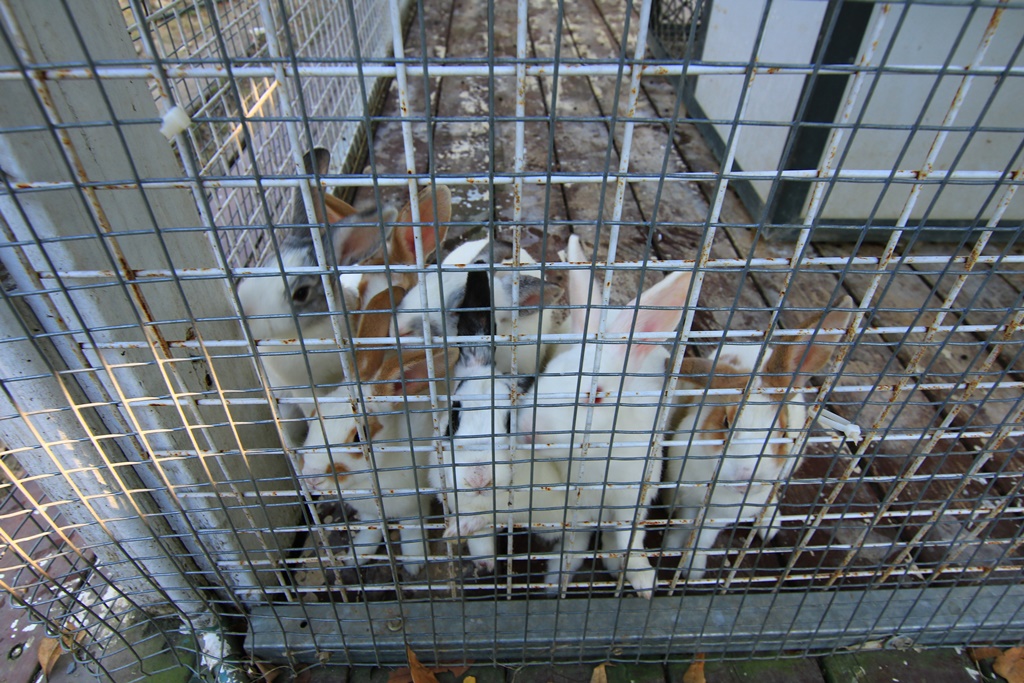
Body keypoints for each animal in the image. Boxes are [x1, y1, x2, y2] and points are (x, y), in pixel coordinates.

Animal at [432, 270, 569, 573]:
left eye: (509, 424)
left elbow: (495, 516)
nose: (479, 478)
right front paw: (480, 559)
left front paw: (459, 530)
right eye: (453, 418)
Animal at [516, 235, 692, 598]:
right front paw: (556, 579)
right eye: (547, 373)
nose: (527, 430)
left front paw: (643, 581)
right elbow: (576, 543)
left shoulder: (632, 498)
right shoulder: (577, 509)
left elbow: (629, 539)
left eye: (595, 396)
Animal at [659, 296, 851, 577]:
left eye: (783, 432)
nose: (746, 477)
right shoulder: (687, 495)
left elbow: (702, 538)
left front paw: (692, 568)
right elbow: (684, 524)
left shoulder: (719, 516)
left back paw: (770, 524)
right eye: (726, 422)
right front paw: (671, 547)